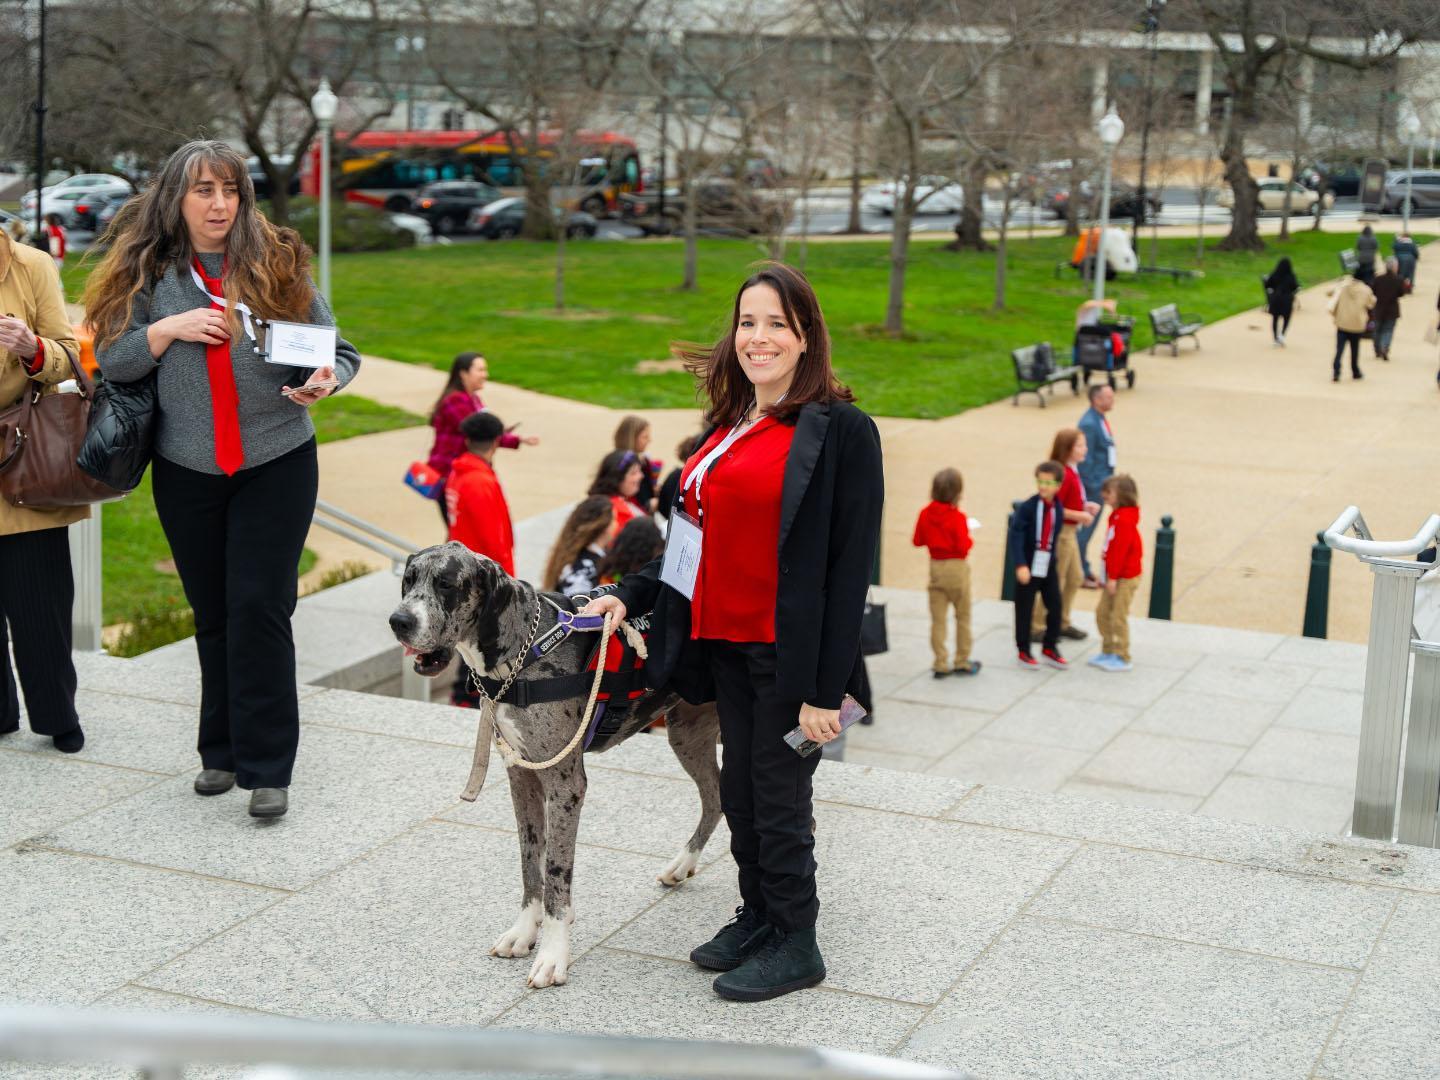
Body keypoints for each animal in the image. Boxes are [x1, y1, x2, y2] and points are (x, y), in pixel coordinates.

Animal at [388, 544, 720, 996]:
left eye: (447, 584)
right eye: (409, 580)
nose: (400, 621)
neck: (524, 650)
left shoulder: (566, 785)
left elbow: (557, 874)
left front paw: (552, 955)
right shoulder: (523, 777)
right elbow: (532, 865)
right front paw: (525, 931)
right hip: (688, 733)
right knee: (717, 799)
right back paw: (683, 864)